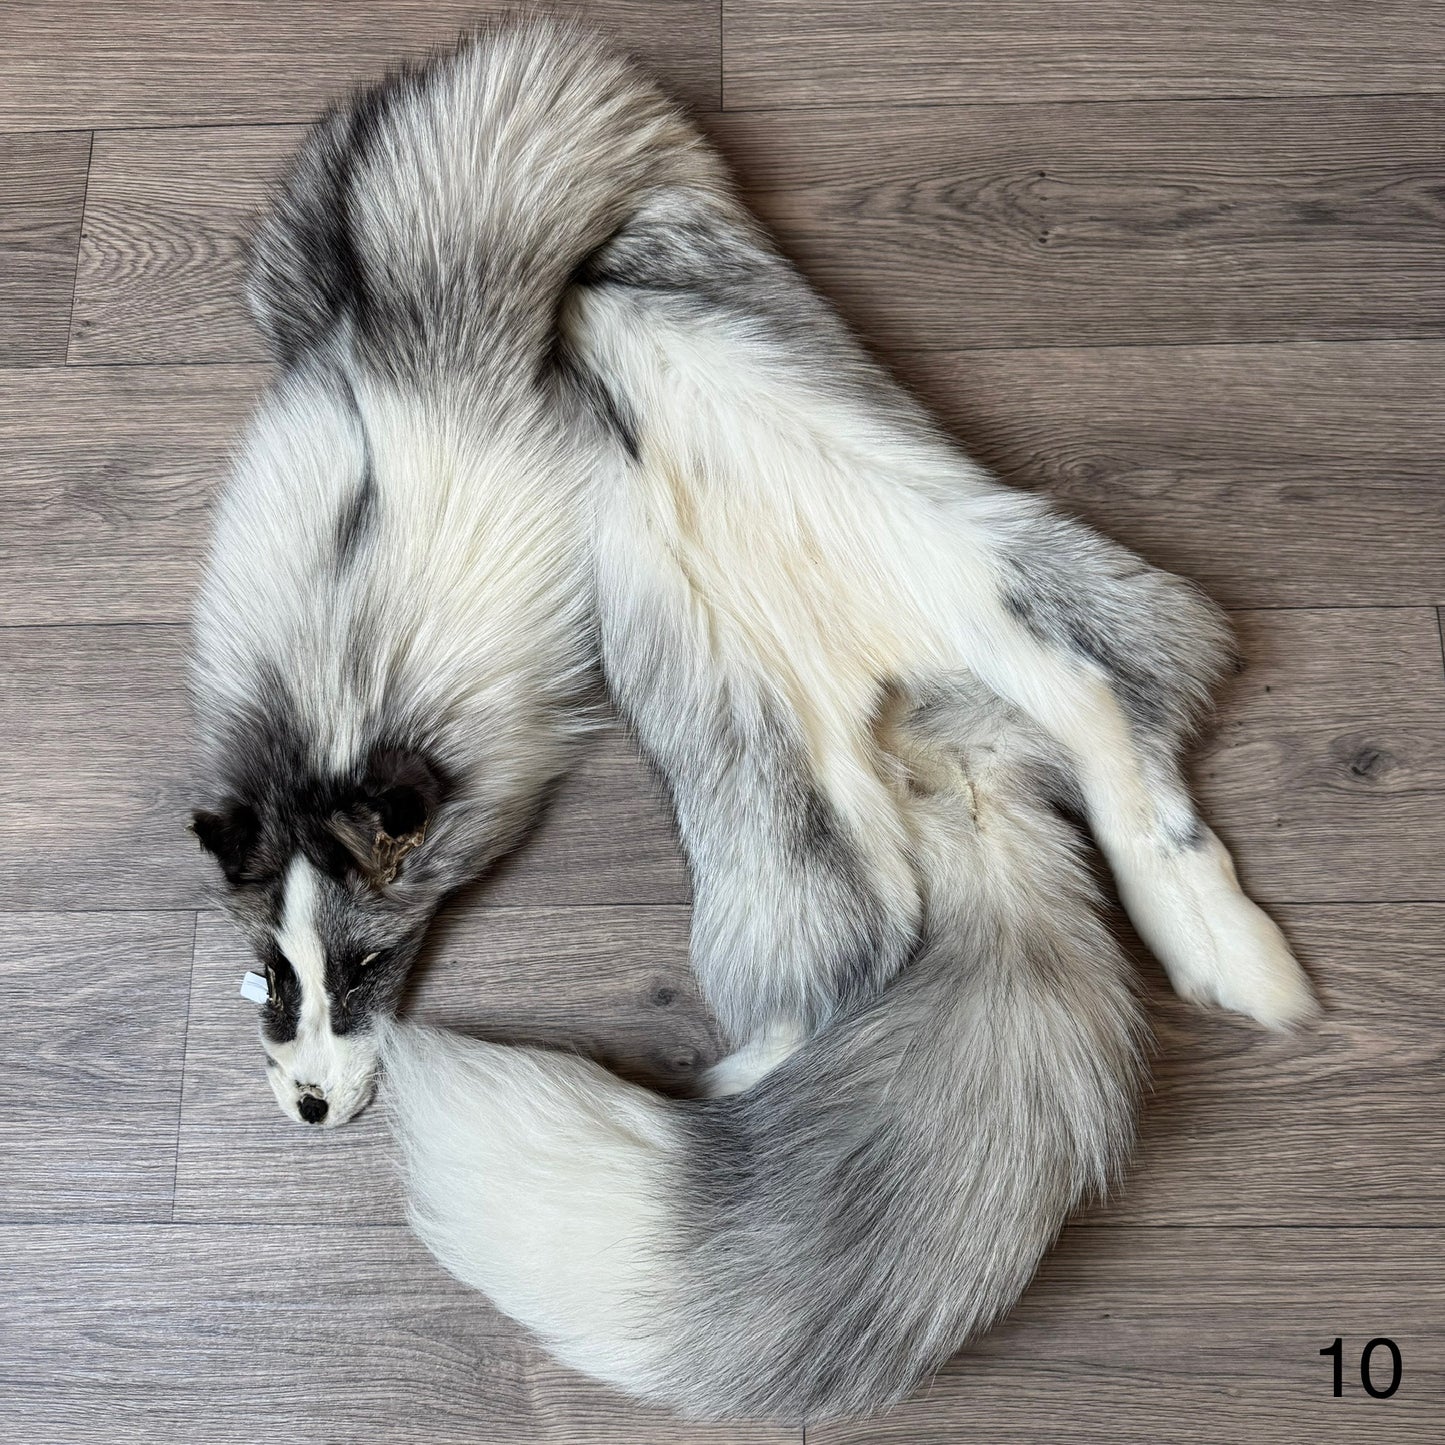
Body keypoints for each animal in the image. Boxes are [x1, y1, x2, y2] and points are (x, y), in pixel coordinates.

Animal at [190, 18, 1318, 1422]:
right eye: (268, 976)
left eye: (366, 967)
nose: (305, 1104)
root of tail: (938, 750)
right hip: (812, 783)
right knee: (985, 840)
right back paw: (1202, 934)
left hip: (926, 610)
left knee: (1089, 716)